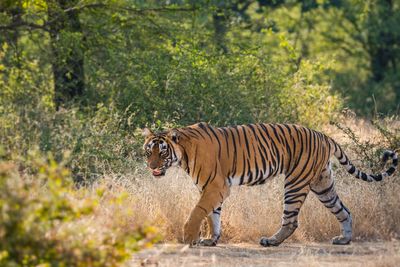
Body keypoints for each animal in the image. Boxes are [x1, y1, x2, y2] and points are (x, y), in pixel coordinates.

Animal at [142, 123, 398, 247]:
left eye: (162, 152)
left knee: (291, 220)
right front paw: (211, 240)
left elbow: (198, 212)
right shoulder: (211, 188)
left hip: (295, 182)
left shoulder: (215, 186)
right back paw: (344, 239)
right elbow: (213, 215)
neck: (183, 154)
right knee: (344, 211)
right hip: (323, 184)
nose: (151, 166)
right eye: (148, 151)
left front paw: (188, 238)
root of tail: (323, 135)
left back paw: (271, 241)